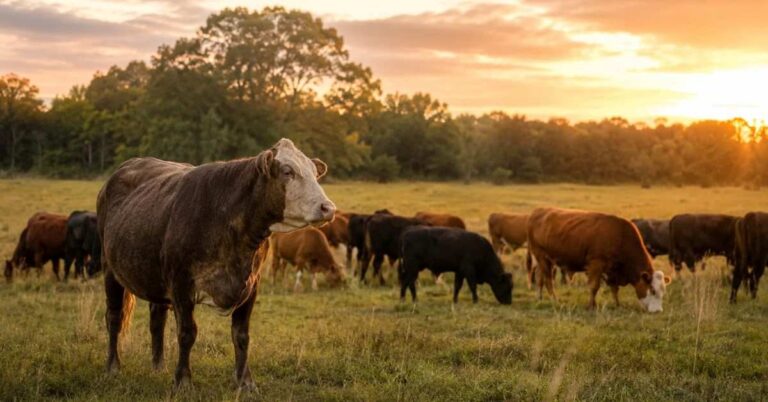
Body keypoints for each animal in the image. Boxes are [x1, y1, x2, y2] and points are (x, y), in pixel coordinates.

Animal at [97, 138, 335, 388]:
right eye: (288, 171)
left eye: (314, 172)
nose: (328, 208)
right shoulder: (181, 284)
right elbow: (187, 333)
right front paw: (183, 380)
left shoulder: (252, 284)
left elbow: (241, 335)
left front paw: (245, 382)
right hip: (110, 269)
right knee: (114, 317)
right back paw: (113, 366)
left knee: (157, 318)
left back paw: (159, 367)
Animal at [527, 208, 671, 312]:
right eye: (652, 290)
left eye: (663, 291)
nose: (658, 311)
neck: (620, 236)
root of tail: (539, 211)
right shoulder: (596, 264)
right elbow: (594, 287)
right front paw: (591, 306)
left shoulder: (613, 270)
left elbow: (614, 289)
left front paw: (617, 304)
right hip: (542, 256)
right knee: (548, 280)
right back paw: (554, 299)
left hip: (543, 259)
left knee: (539, 277)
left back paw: (539, 298)